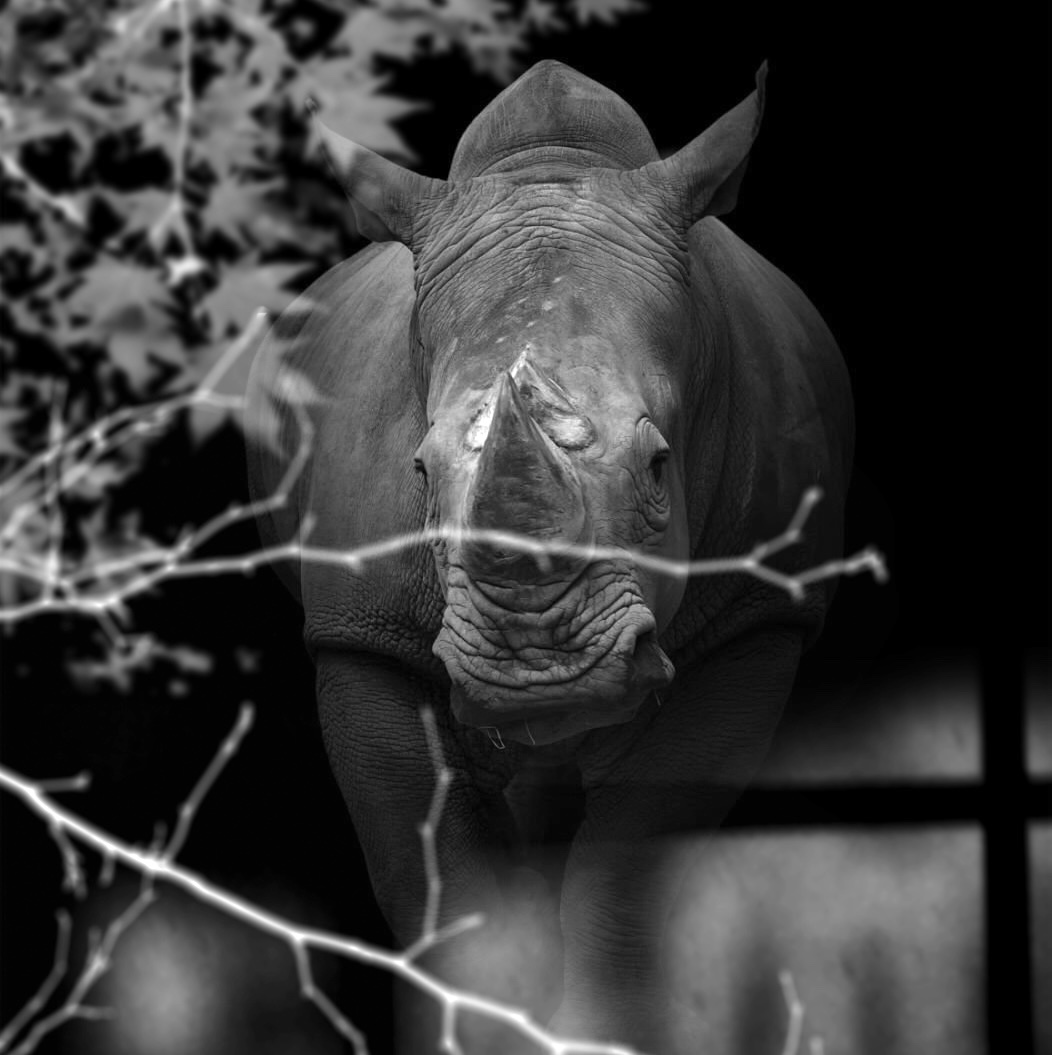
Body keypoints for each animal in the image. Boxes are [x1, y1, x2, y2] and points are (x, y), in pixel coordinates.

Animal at [248, 60, 853, 1053]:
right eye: (420, 472)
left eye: (659, 465)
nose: (536, 673)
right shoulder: (359, 632)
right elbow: (442, 896)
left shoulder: (758, 618)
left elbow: (625, 874)